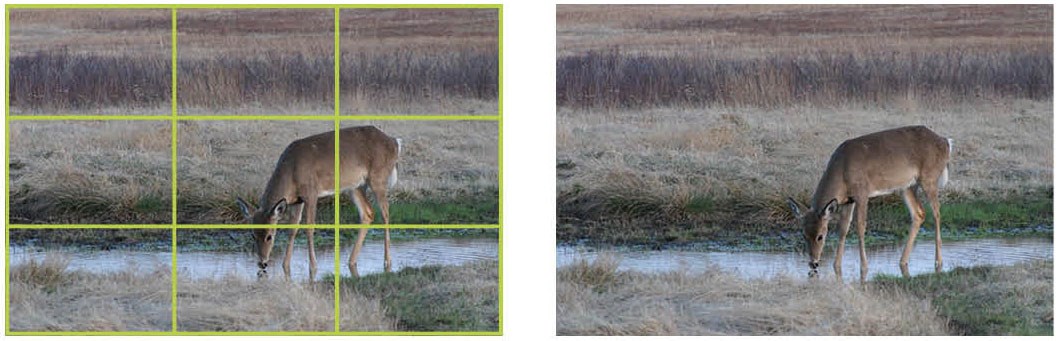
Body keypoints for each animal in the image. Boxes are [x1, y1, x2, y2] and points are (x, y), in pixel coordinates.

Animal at [236, 124, 400, 279]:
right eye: (252, 235)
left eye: (270, 236)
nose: (262, 262)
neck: (291, 172)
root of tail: (394, 142)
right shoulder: (297, 200)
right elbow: (293, 229)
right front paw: (285, 265)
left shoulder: (311, 193)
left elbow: (309, 228)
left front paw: (313, 267)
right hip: (354, 186)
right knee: (368, 213)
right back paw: (351, 261)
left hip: (378, 177)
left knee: (385, 214)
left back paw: (387, 262)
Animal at [788, 124, 953, 281]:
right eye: (803, 234)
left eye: (821, 236)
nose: (813, 263)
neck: (842, 171)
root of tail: (945, 142)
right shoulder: (848, 200)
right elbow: (843, 228)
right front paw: (837, 266)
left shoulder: (862, 192)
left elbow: (860, 226)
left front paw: (864, 268)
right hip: (906, 186)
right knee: (919, 213)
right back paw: (903, 261)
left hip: (929, 178)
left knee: (937, 213)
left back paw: (938, 262)